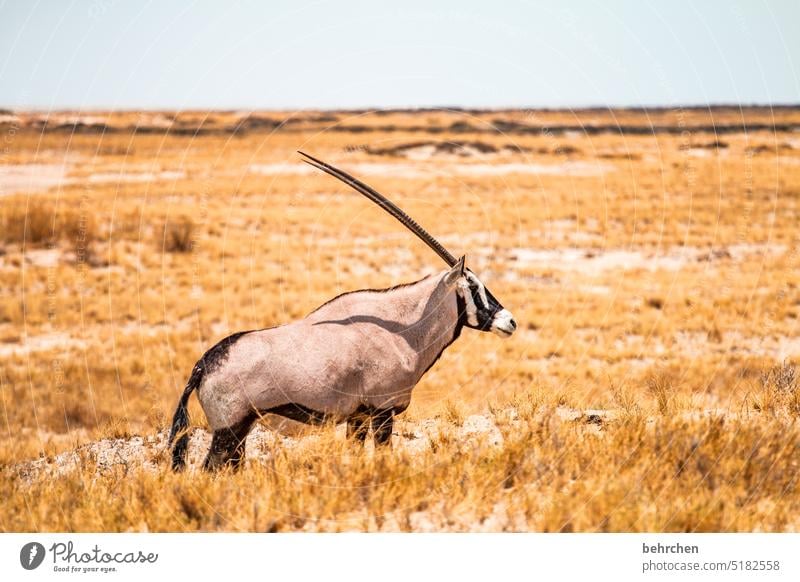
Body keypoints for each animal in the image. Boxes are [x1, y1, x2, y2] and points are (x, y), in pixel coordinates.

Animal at [170, 149, 520, 470]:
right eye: (473, 286)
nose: (510, 321)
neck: (404, 332)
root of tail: (202, 365)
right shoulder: (382, 412)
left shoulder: (358, 417)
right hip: (228, 430)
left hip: (242, 430)